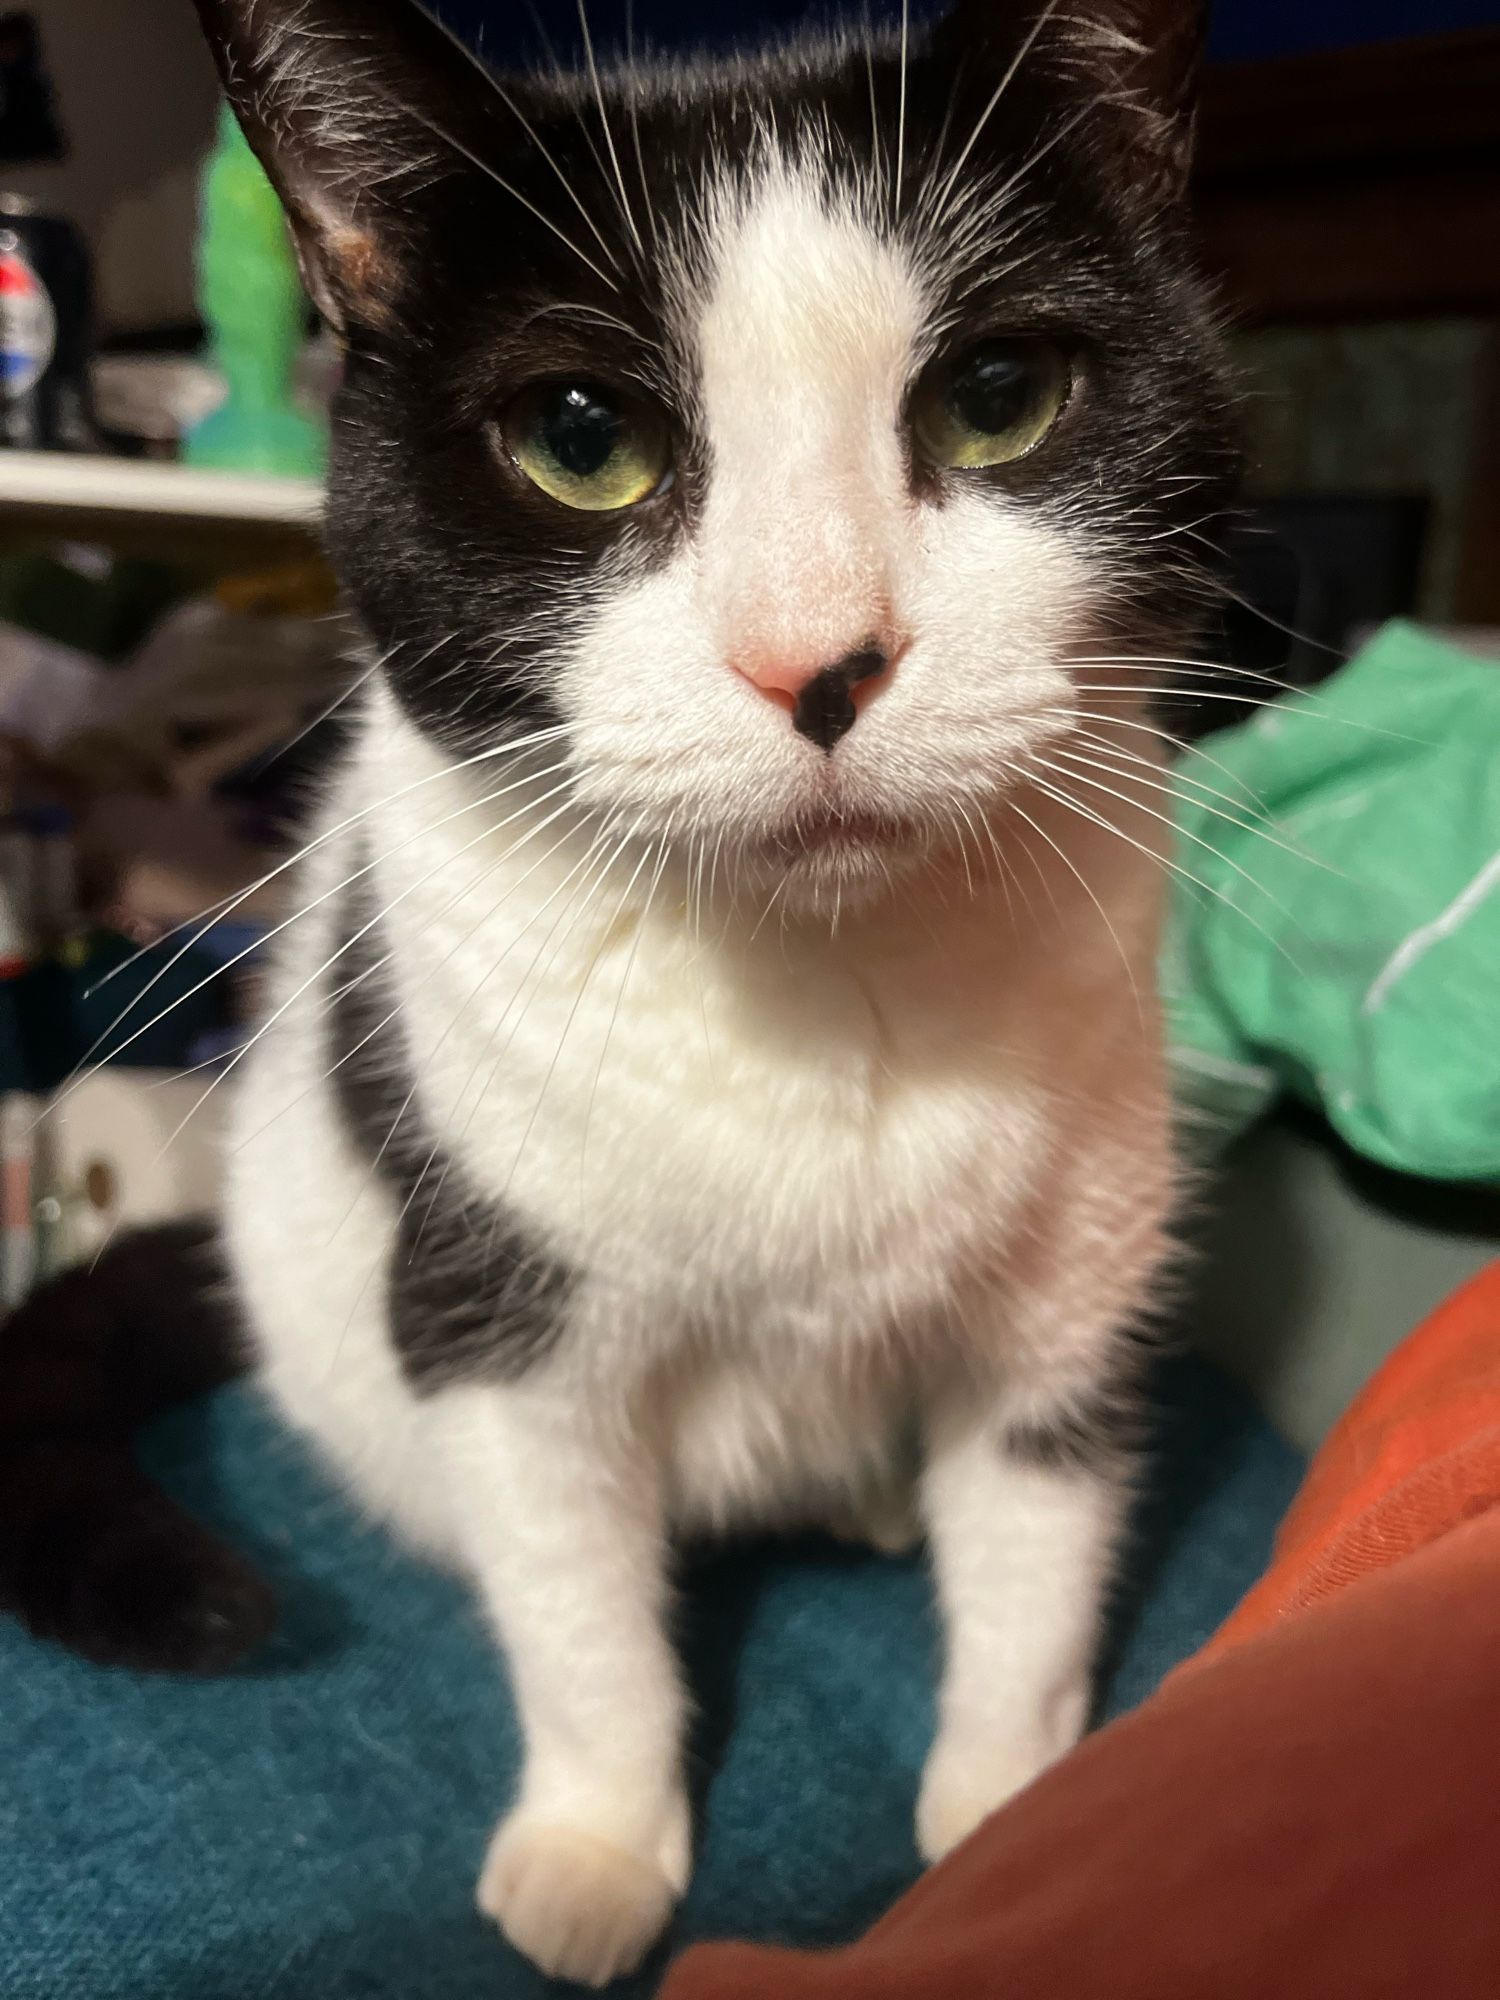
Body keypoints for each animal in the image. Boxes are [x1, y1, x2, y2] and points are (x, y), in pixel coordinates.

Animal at [5, 0, 1240, 1984]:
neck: (821, 995)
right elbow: (583, 1610)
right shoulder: (500, 1310)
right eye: (582, 441)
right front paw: (596, 1849)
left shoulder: (1072, 1290)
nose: (820, 662)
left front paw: (1009, 1825)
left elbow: (1038, 1563)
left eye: (999, 398)